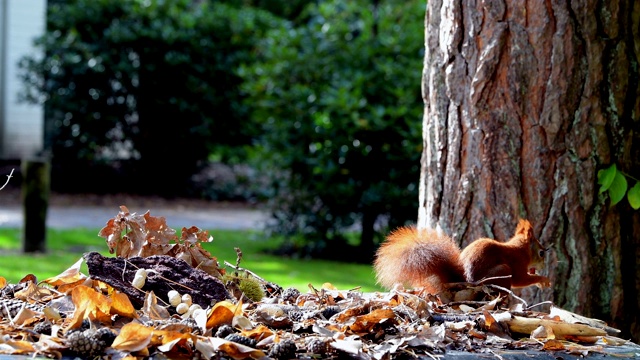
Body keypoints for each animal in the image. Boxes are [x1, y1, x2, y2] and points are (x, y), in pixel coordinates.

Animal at [376, 219, 552, 292]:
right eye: (541, 253)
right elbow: (520, 280)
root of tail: (465, 280)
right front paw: (543, 280)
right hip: (502, 271)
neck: (521, 250)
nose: (545, 265)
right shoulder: (517, 262)